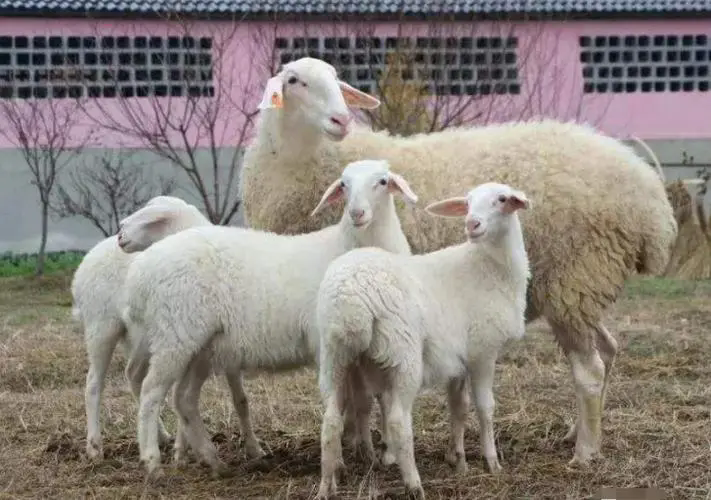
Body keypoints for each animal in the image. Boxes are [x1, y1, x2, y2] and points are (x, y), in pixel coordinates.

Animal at [72, 193, 211, 458]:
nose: (120, 235)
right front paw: (185, 449)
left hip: (143, 338)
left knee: (134, 375)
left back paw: (160, 435)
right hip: (101, 327)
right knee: (93, 383)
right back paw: (94, 446)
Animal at [117, 158, 418, 474]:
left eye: (382, 181)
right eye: (343, 184)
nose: (357, 213)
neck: (345, 246)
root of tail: (140, 271)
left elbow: (369, 399)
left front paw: (369, 449)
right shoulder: (330, 343)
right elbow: (352, 398)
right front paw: (351, 453)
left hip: (200, 346)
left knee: (184, 398)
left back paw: (214, 461)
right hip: (174, 337)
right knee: (151, 392)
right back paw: (152, 462)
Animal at [241, 55, 680, 464]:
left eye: (337, 80)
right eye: (294, 81)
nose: (341, 119)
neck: (308, 159)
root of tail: (650, 199)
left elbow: (356, 387)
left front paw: (364, 443)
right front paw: (360, 439)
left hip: (576, 276)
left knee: (589, 370)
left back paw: (585, 451)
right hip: (582, 287)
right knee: (608, 350)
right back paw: (580, 431)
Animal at [314, 182, 532, 498]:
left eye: (502, 199)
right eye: (467, 203)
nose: (472, 224)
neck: (490, 267)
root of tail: (349, 297)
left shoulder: (457, 358)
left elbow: (458, 406)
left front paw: (458, 459)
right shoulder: (483, 351)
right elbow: (485, 407)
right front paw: (491, 461)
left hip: (335, 355)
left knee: (330, 422)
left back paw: (325, 486)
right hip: (402, 353)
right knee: (397, 422)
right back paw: (414, 483)